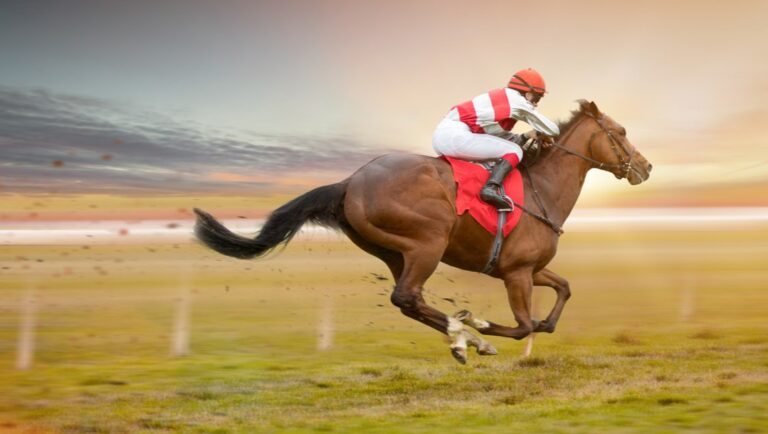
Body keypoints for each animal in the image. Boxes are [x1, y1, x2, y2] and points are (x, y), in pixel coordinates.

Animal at [194, 100, 653, 364]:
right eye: (622, 132)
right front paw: (484, 328)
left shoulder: (526, 268)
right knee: (407, 297)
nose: (646, 167)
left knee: (408, 301)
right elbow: (523, 325)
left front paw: (506, 329)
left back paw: (462, 338)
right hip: (427, 244)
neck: (543, 188)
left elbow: (562, 293)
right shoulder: (517, 273)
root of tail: (350, 182)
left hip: (394, 252)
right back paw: (469, 337)